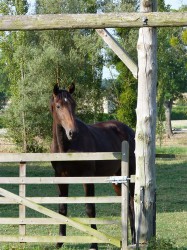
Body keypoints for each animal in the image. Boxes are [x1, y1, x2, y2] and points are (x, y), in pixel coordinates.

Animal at [50, 83, 135, 249]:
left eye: (74, 104)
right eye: (58, 105)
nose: (73, 132)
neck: (67, 147)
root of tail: (128, 130)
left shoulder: (87, 177)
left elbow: (90, 209)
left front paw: (94, 244)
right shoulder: (60, 177)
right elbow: (62, 209)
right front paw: (59, 242)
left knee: (132, 203)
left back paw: (135, 239)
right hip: (117, 180)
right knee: (127, 205)